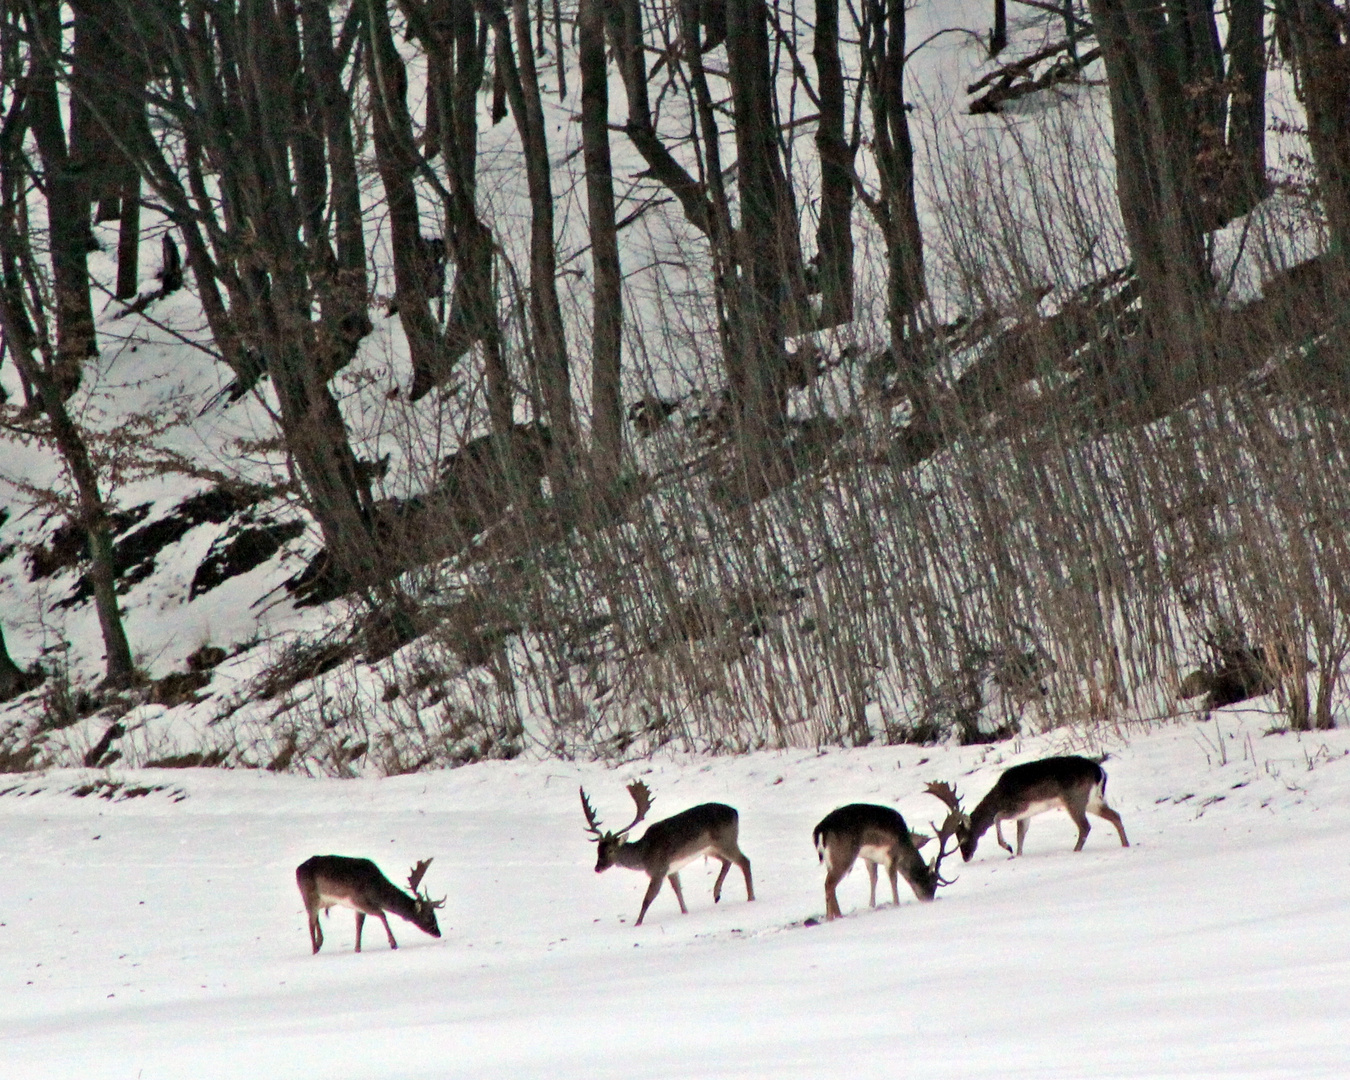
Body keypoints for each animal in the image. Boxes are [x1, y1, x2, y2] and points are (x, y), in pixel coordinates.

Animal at [294, 853, 442, 955]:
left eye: (435, 915)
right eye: (429, 916)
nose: (438, 933)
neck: (376, 890)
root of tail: (298, 869)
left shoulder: (359, 908)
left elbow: (359, 926)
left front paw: (357, 949)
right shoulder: (359, 900)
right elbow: (382, 914)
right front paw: (393, 944)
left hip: (321, 901)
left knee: (315, 919)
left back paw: (320, 943)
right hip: (309, 895)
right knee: (310, 922)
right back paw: (315, 949)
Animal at [575, 783, 756, 923]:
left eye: (611, 850)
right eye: (598, 850)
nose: (598, 868)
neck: (644, 855)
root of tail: (735, 811)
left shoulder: (659, 870)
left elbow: (647, 899)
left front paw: (637, 924)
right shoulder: (671, 870)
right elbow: (678, 891)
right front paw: (685, 912)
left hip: (726, 840)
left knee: (744, 861)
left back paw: (750, 898)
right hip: (711, 848)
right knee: (728, 861)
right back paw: (717, 894)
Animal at [810, 783, 972, 918]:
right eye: (931, 883)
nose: (928, 900)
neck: (904, 842)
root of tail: (820, 830)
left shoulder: (869, 858)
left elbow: (873, 879)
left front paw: (872, 905)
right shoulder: (891, 855)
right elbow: (893, 880)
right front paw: (896, 904)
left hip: (831, 860)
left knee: (829, 885)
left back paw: (831, 917)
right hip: (843, 855)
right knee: (829, 884)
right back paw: (838, 916)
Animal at [945, 750, 1134, 858]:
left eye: (962, 838)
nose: (965, 857)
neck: (999, 797)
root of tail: (1100, 771)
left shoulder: (1019, 806)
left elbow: (997, 817)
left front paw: (1007, 847)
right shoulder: (1025, 815)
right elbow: (1020, 836)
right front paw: (1017, 855)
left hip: (1074, 799)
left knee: (1085, 826)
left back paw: (1075, 852)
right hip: (1093, 801)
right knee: (1115, 816)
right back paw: (1126, 845)